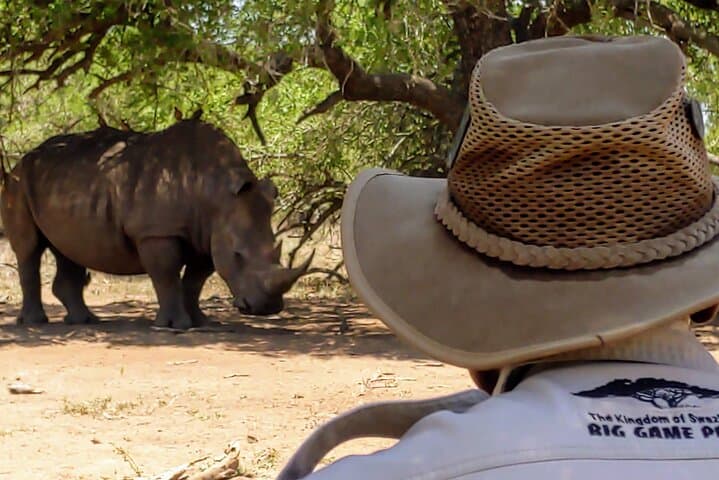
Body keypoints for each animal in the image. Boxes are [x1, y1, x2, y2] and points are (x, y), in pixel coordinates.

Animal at [0, 111, 310, 329]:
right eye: (238, 255)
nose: (267, 308)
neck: (217, 193)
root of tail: (25, 157)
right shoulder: (156, 232)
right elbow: (167, 275)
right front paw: (174, 326)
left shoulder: (207, 233)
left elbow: (195, 280)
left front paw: (201, 322)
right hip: (17, 182)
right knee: (29, 249)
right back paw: (36, 323)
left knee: (68, 247)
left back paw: (84, 321)